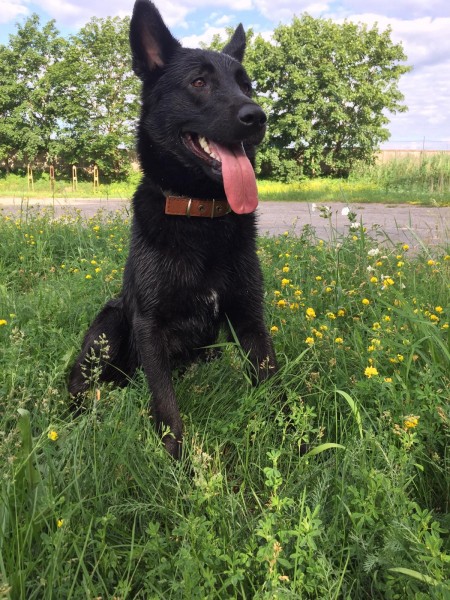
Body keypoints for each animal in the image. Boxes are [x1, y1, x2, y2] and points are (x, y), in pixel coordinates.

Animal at [69, 0, 277, 459]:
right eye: (199, 82)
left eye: (246, 85)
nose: (257, 117)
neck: (199, 215)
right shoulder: (149, 325)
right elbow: (165, 403)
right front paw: (179, 463)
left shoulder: (249, 315)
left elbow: (272, 376)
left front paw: (297, 443)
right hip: (109, 324)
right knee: (77, 381)